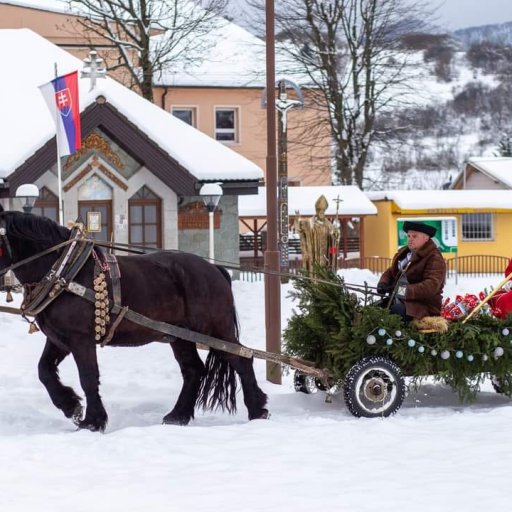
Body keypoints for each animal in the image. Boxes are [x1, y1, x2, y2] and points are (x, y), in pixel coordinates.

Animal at [0, 207, 270, 428]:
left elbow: (88, 376)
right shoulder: (59, 339)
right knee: (193, 369)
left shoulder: (81, 339)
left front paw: (93, 421)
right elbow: (44, 371)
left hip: (216, 330)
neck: (64, 269)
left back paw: (257, 410)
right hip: (179, 335)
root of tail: (214, 269)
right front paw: (71, 406)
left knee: (242, 359)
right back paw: (177, 415)